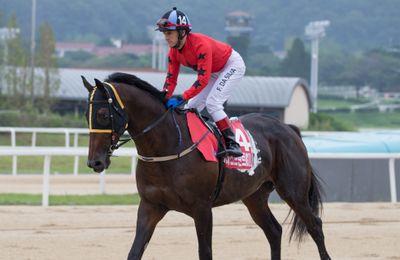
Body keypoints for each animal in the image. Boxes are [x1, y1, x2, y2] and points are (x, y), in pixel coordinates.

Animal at [82, 72, 332, 260]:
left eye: (102, 113)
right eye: (86, 114)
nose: (95, 161)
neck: (168, 145)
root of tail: (288, 128)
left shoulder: (202, 208)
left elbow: (205, 252)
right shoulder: (150, 206)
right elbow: (134, 252)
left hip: (293, 191)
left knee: (315, 226)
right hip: (254, 196)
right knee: (274, 230)